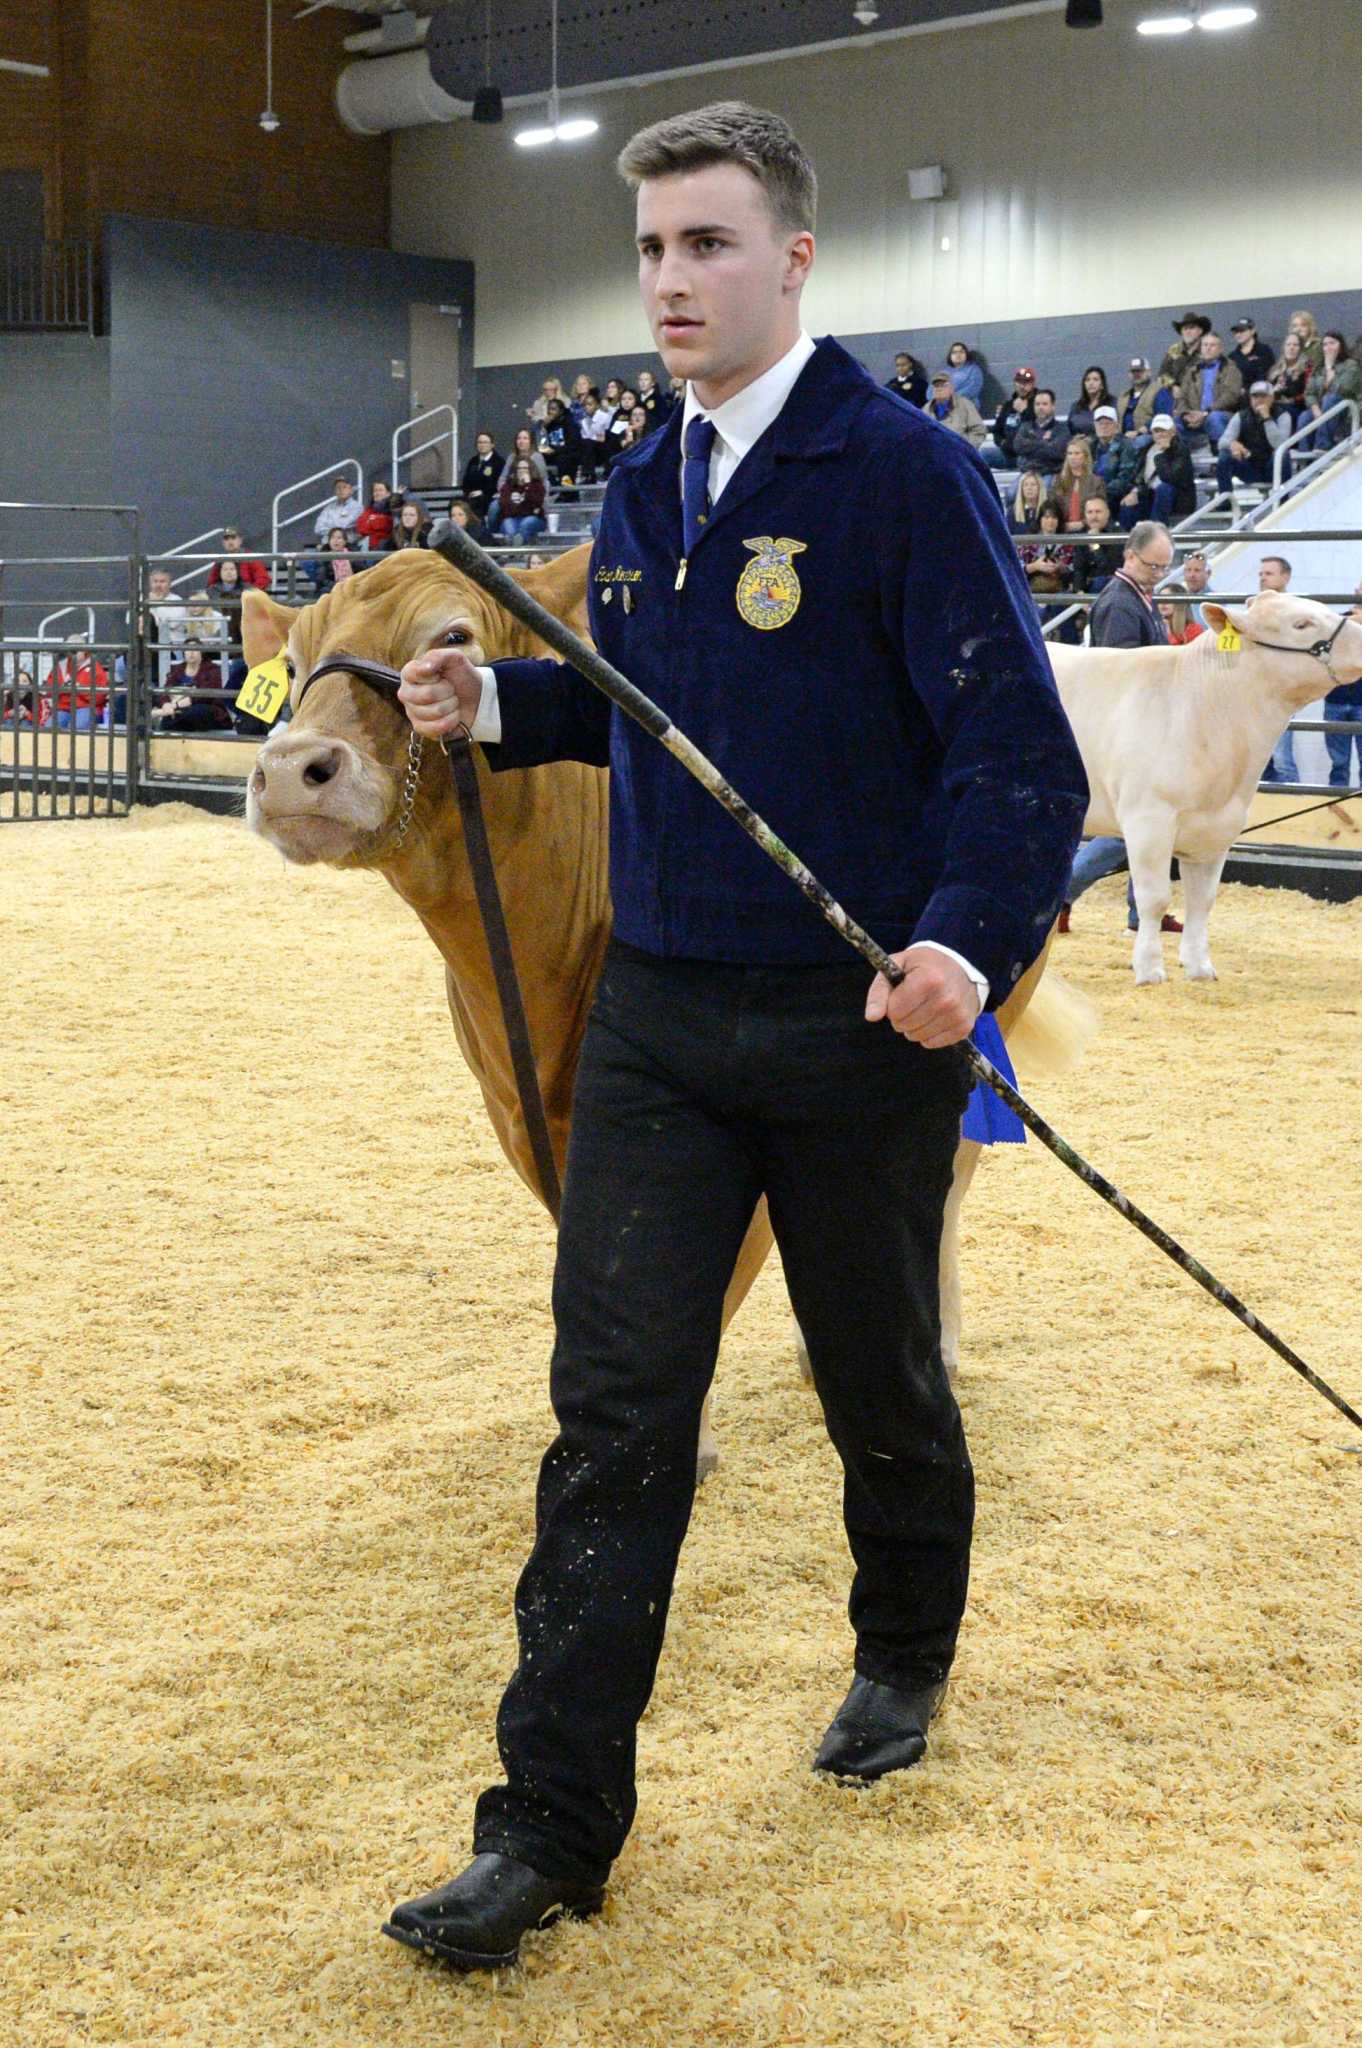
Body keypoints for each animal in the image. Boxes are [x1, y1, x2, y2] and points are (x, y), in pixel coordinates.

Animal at [241, 544, 1081, 1474]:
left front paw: (693, 1441)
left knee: (947, 1184)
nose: (292, 772)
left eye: (452, 636)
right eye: (293, 664)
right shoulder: (535, 1119)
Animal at [1044, 593, 1359, 983]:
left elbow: (1202, 900)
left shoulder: (1218, 828)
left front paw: (1199, 967)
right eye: (1301, 624)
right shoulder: (1148, 818)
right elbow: (1155, 897)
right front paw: (1149, 969)